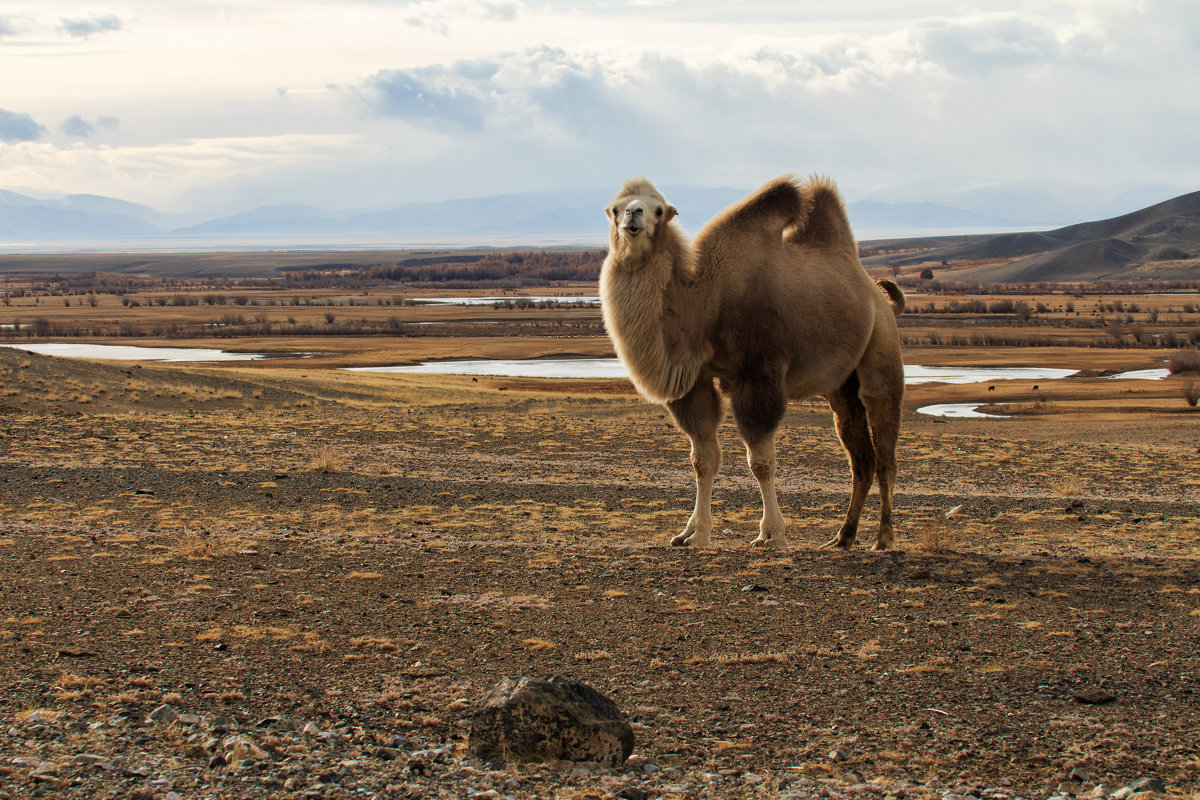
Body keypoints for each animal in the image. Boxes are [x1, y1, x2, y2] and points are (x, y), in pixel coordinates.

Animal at [604, 175, 902, 551]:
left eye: (658, 209)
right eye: (615, 208)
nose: (634, 215)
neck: (704, 303)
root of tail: (877, 293)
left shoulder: (758, 375)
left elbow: (761, 462)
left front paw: (772, 534)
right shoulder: (695, 382)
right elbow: (703, 459)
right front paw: (693, 534)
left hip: (883, 353)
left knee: (885, 451)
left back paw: (884, 538)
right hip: (841, 387)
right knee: (860, 456)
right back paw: (842, 538)